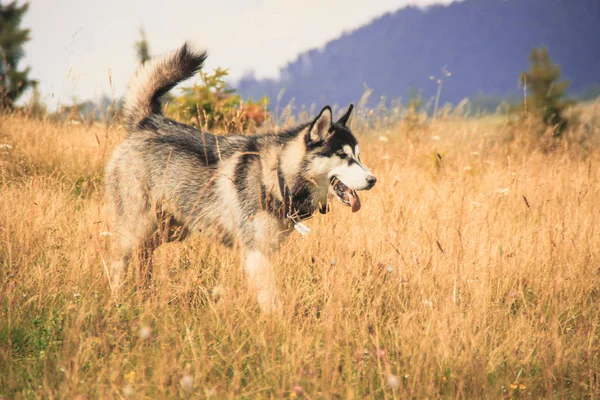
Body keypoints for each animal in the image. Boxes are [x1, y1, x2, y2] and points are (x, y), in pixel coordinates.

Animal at [103, 44, 376, 312]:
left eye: (358, 156)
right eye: (342, 155)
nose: (373, 180)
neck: (278, 178)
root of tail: (147, 122)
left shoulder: (264, 251)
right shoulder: (256, 253)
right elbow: (272, 303)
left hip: (168, 230)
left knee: (144, 258)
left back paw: (145, 296)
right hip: (138, 227)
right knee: (118, 263)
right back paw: (118, 302)